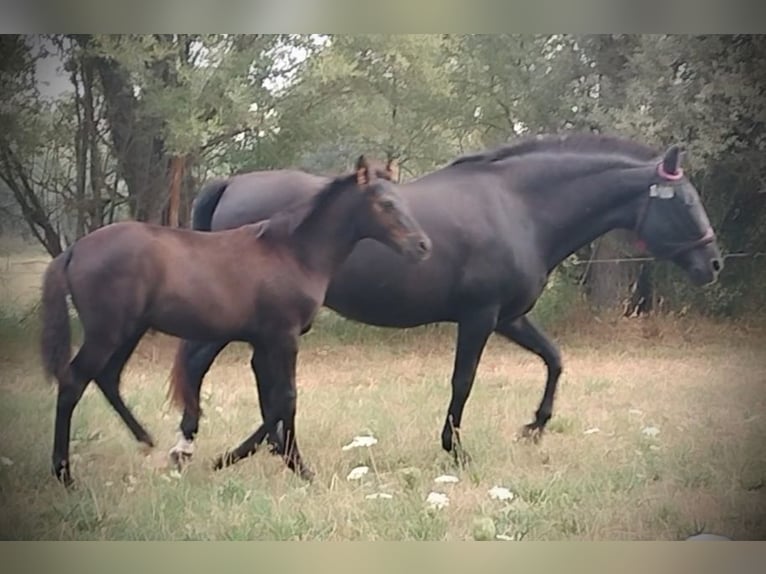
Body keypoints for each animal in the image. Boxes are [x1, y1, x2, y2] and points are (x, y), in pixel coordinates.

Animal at [39, 155, 432, 485]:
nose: (422, 246)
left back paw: (146, 439)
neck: (293, 252)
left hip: (127, 331)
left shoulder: (263, 340)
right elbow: (287, 397)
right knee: (74, 381)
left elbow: (273, 399)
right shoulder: (284, 336)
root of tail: (73, 251)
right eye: (386, 204)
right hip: (108, 332)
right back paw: (64, 473)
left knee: (107, 377)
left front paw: (264, 456)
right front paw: (285, 465)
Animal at [168, 133, 723, 471]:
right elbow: (464, 381)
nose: (713, 263)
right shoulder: (480, 317)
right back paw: (191, 448)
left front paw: (535, 427)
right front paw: (455, 449)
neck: (521, 208)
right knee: (203, 366)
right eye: (686, 201)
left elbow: (554, 359)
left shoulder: (510, 317)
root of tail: (231, 183)